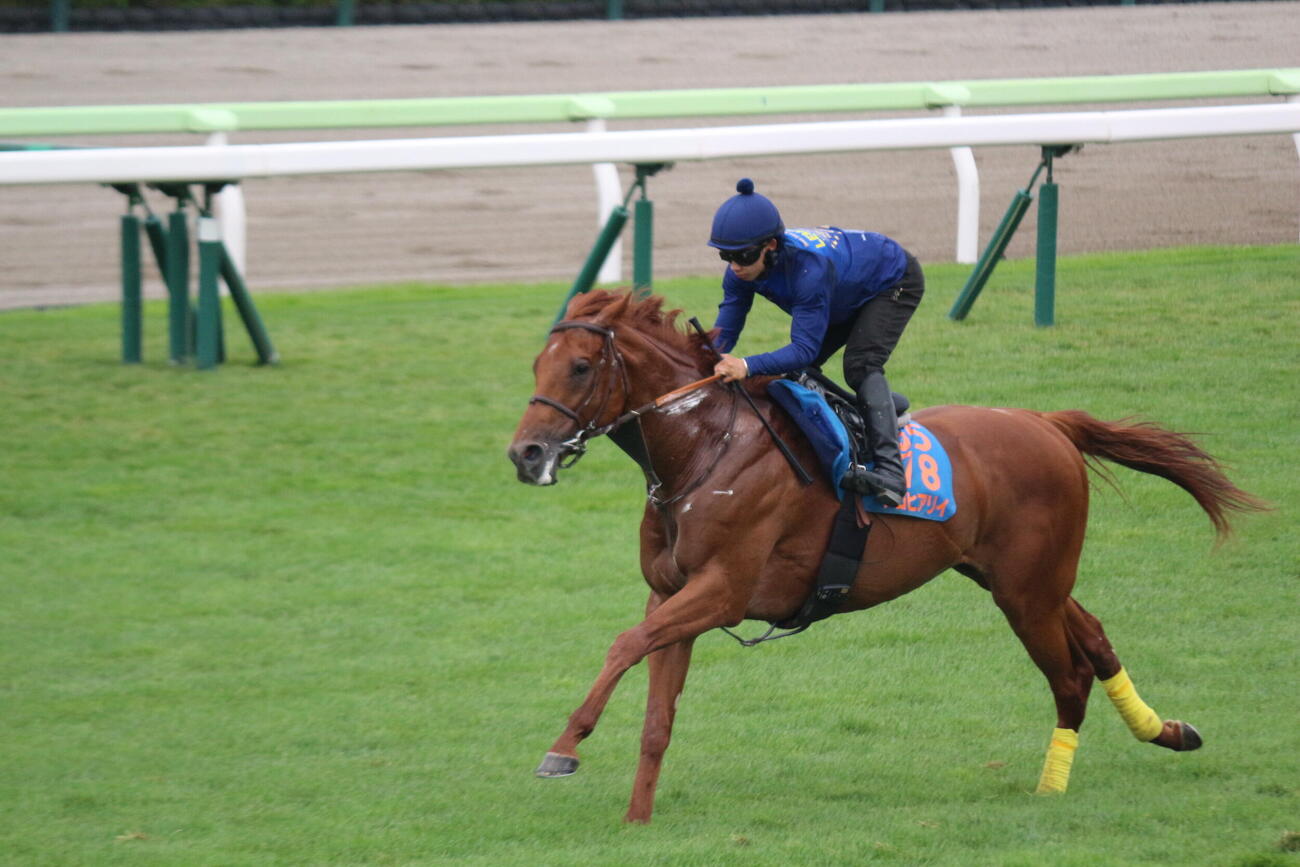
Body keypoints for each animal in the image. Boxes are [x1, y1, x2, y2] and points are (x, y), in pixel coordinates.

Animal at [506, 289, 1264, 824]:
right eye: (536, 365)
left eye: (580, 366)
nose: (526, 453)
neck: (703, 447)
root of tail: (1046, 422)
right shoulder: (672, 594)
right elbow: (657, 713)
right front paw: (637, 818)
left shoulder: (721, 591)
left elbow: (623, 643)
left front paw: (564, 749)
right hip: (1019, 579)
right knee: (1097, 638)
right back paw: (1169, 731)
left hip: (1027, 591)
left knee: (1070, 675)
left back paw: (1052, 788)